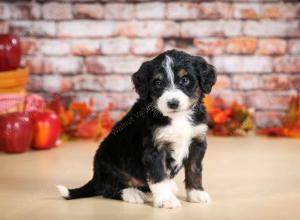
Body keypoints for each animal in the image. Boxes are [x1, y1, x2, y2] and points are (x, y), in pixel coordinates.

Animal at [56, 49, 216, 209]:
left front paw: (196, 193)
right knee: (108, 189)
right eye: (158, 83)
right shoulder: (153, 149)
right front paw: (166, 200)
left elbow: (194, 169)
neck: (178, 118)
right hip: (109, 166)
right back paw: (132, 194)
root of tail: (95, 177)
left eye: (185, 80)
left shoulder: (197, 141)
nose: (173, 103)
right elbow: (158, 175)